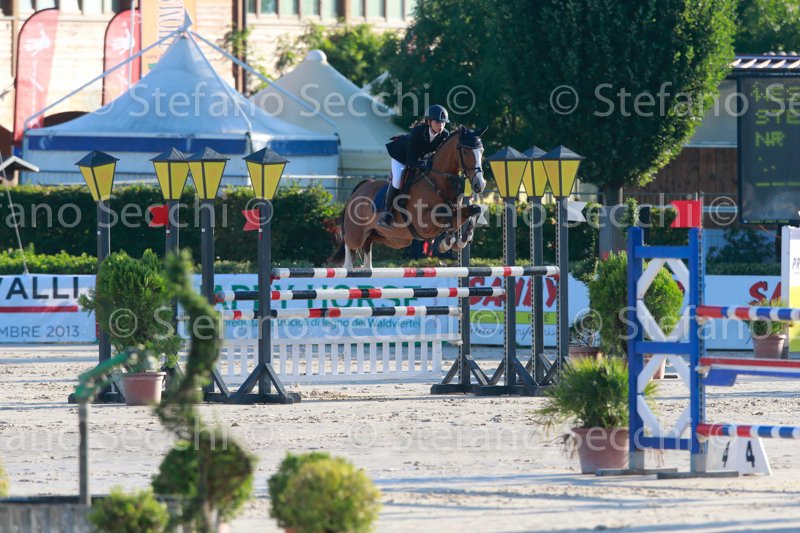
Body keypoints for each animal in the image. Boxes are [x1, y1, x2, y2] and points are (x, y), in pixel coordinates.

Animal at [332, 125, 488, 270]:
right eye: (466, 152)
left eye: (482, 151)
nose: (479, 185)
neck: (438, 181)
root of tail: (360, 188)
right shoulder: (423, 222)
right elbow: (445, 212)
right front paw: (447, 242)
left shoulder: (456, 212)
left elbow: (475, 209)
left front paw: (461, 241)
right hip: (356, 234)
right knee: (348, 242)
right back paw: (349, 267)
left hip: (394, 238)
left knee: (368, 243)